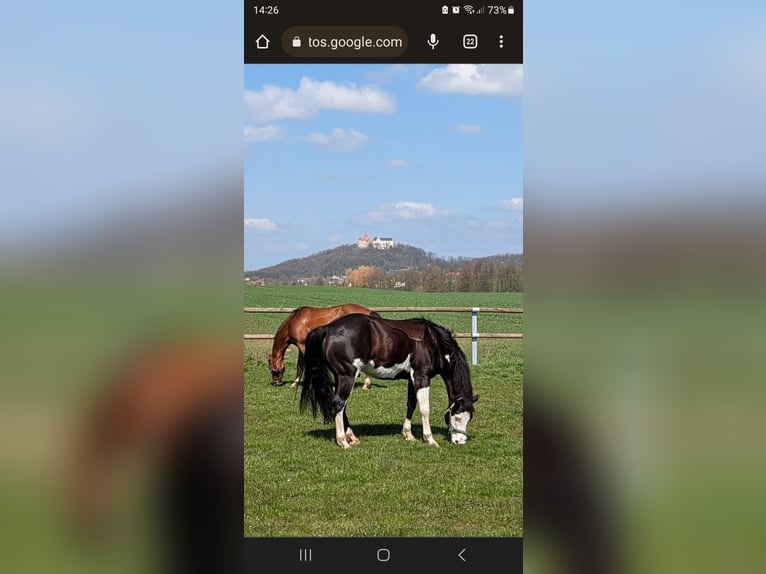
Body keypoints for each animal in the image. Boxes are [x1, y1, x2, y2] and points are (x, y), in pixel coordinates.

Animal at [299, 313, 479, 449]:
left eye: (469, 418)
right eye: (457, 417)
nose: (460, 441)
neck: (433, 342)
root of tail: (328, 328)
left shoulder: (412, 379)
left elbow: (411, 404)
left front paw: (408, 434)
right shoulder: (421, 377)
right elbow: (424, 408)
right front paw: (430, 439)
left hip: (340, 377)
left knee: (342, 406)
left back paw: (352, 437)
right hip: (347, 376)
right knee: (338, 403)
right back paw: (343, 441)